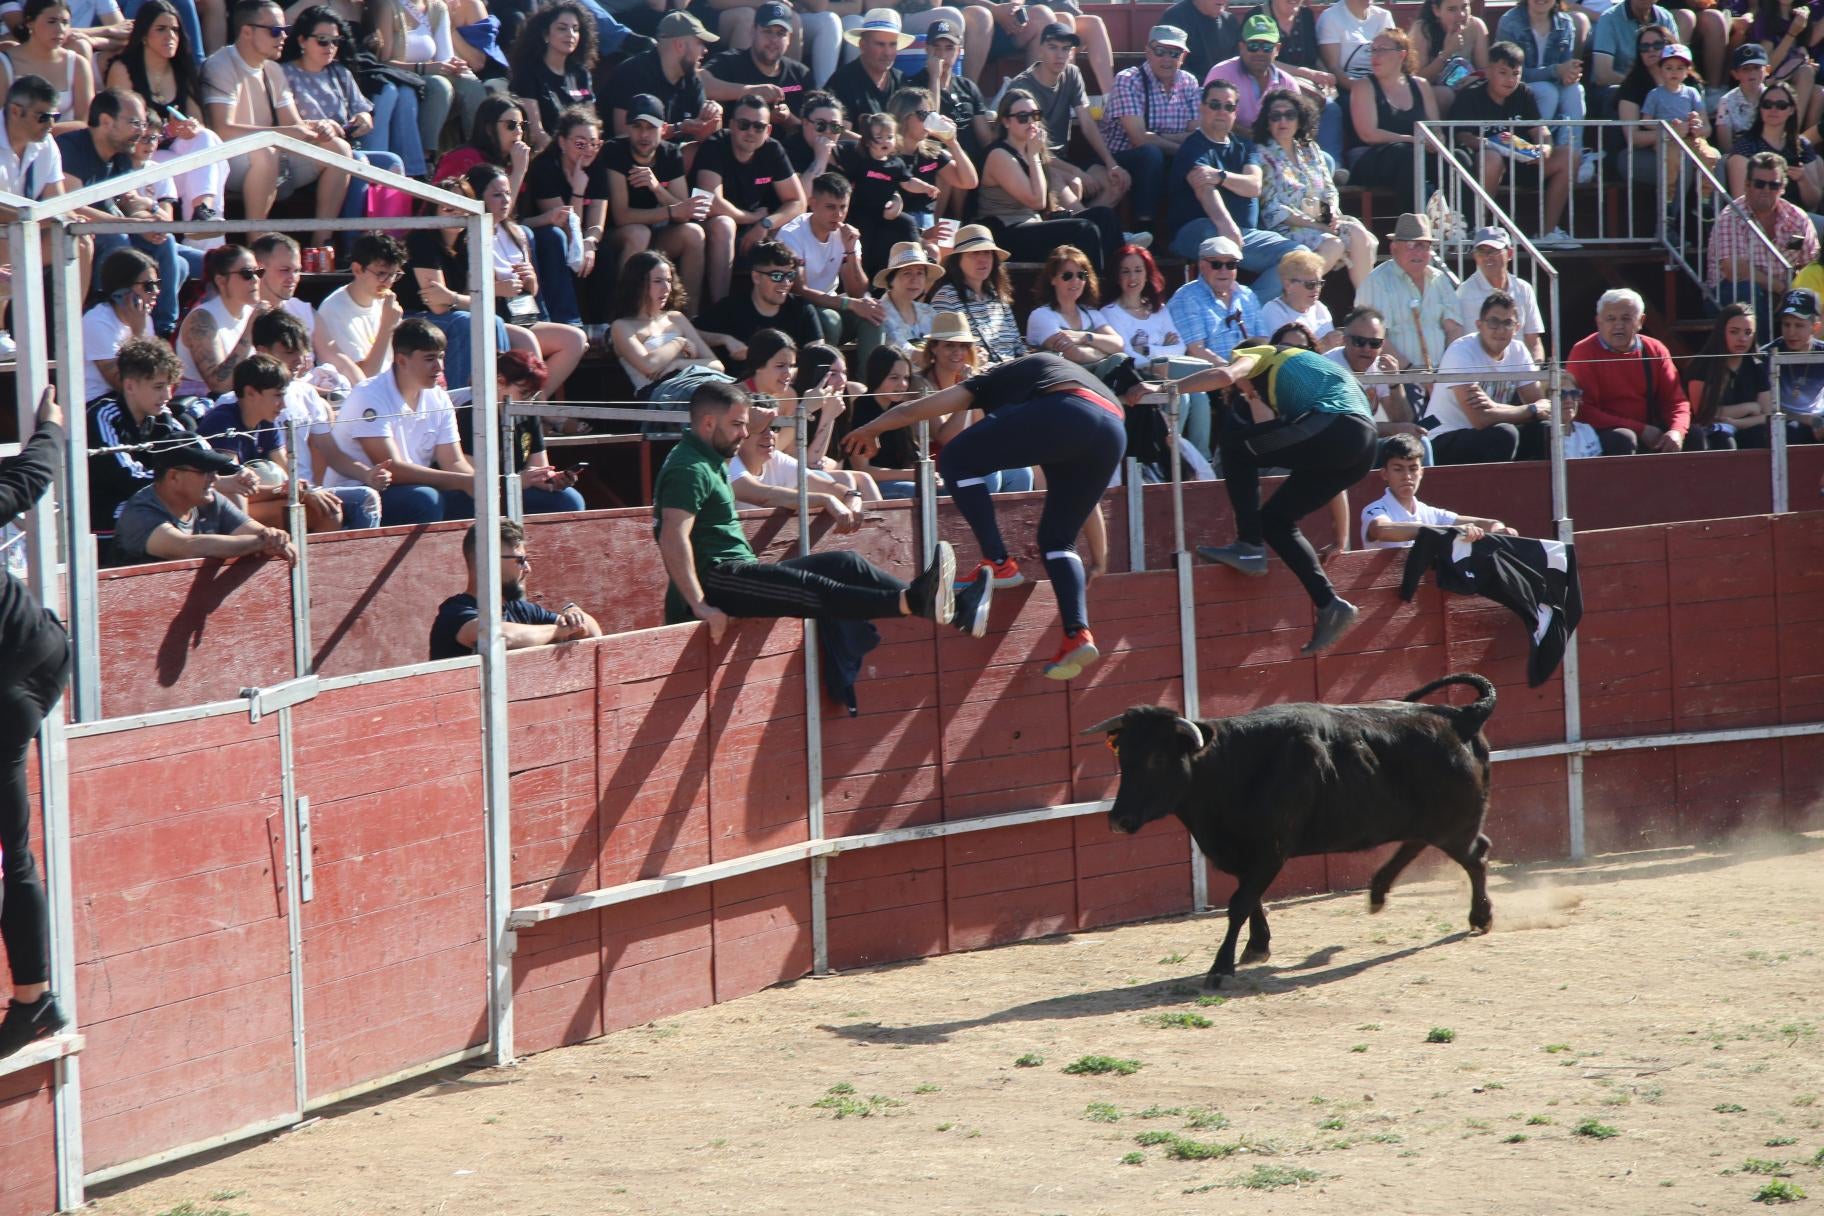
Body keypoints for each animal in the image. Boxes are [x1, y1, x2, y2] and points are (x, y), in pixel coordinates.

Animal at [1079, 674, 1495, 991]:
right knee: (1423, 844)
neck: (1232, 766)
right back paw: (1378, 893)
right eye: (1123, 756)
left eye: (1158, 757)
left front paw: (1220, 968)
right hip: (1434, 822)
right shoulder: (1241, 852)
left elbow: (1239, 902)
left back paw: (1480, 917)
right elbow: (1250, 898)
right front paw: (1256, 947)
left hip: (1454, 824)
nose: (1118, 820)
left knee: (1475, 856)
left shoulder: (1271, 849)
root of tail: (1460, 717)